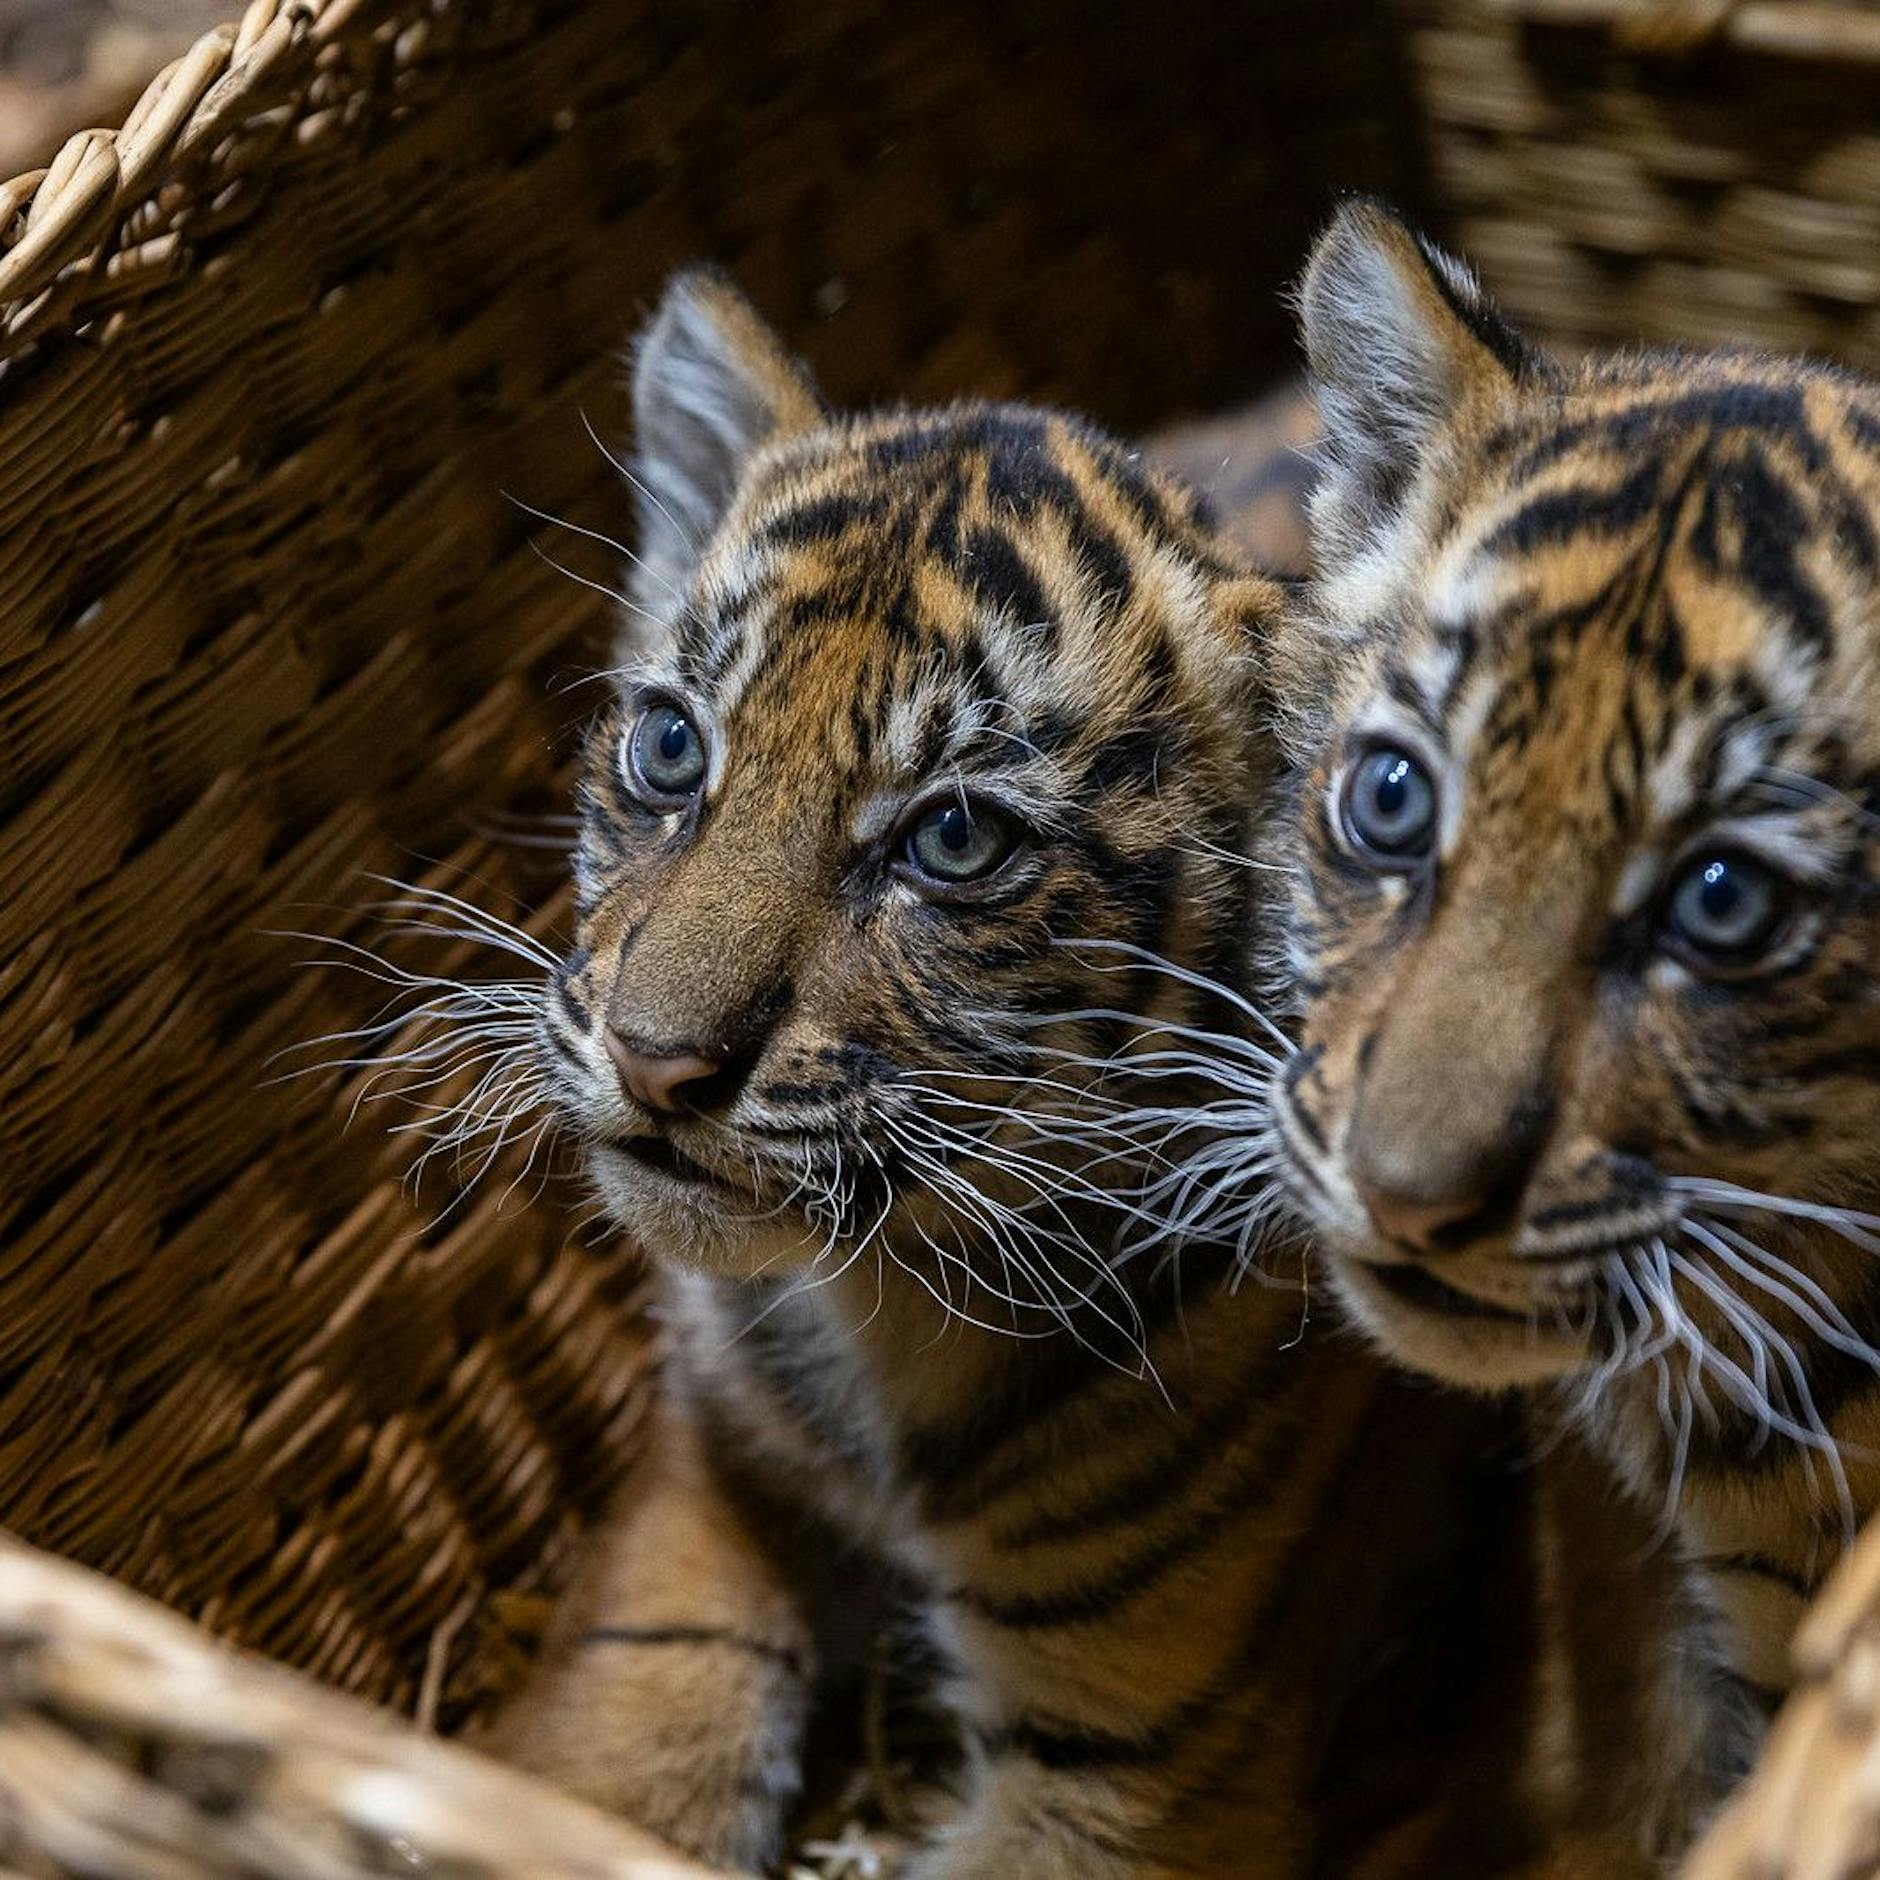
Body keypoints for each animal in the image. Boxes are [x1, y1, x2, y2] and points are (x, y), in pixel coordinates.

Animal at [478, 269, 1513, 1878]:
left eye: (953, 839)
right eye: (669, 746)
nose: (654, 1064)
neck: (880, 1307)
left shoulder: (1132, 1762)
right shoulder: (702, 1491)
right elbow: (618, 1744)